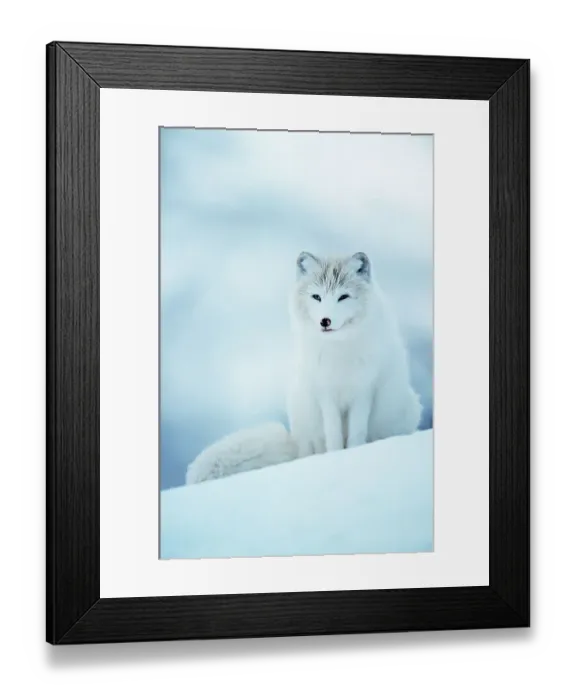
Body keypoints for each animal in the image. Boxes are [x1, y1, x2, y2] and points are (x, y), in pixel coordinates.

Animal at [186, 251, 422, 485]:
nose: (325, 321)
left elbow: (357, 433)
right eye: (316, 297)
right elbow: (333, 434)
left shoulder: (363, 391)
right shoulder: (325, 393)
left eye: (343, 297)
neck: (338, 352)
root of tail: (295, 443)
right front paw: (336, 457)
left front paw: (353, 454)